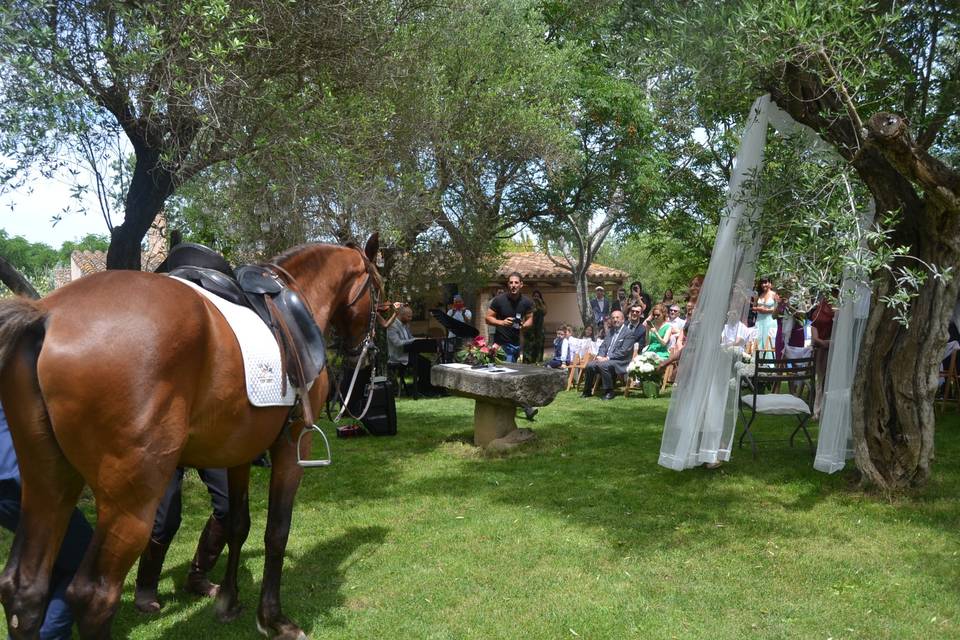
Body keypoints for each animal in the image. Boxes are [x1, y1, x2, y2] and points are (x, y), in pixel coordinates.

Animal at [0, 236, 380, 640]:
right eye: (377, 286)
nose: (366, 351)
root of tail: (46, 316)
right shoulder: (292, 446)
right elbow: (276, 532)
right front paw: (273, 619)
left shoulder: (238, 454)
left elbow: (237, 524)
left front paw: (228, 600)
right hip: (130, 502)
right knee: (95, 596)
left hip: (47, 484)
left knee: (24, 589)